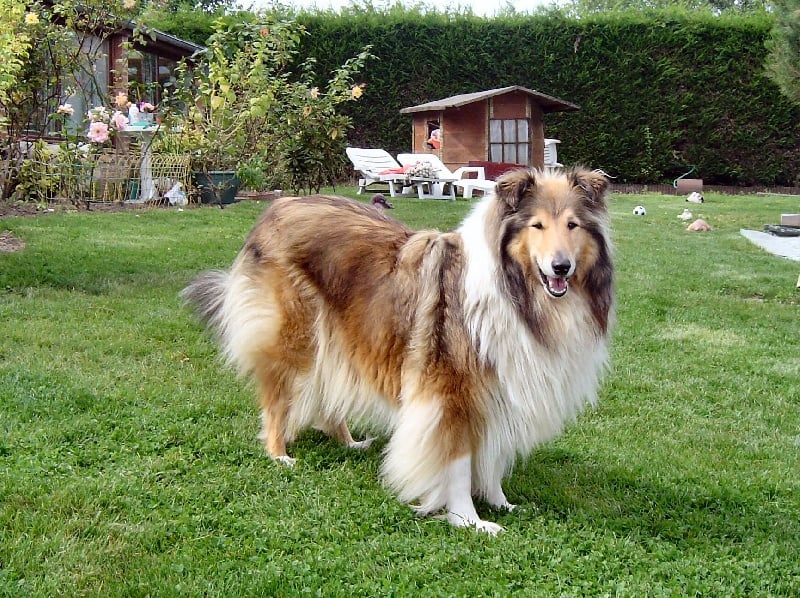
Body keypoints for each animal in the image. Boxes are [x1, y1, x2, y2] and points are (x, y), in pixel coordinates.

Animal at [184, 168, 616, 536]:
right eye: (536, 225)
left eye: (572, 225)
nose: (561, 267)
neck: (518, 294)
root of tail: (277, 207)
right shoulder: (450, 392)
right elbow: (458, 463)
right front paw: (469, 520)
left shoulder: (499, 386)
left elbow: (492, 456)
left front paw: (500, 502)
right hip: (296, 338)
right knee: (277, 397)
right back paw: (279, 454)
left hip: (339, 335)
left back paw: (349, 442)